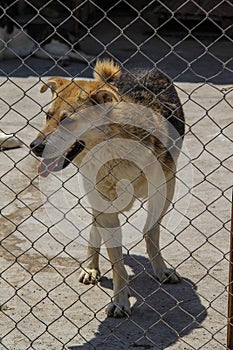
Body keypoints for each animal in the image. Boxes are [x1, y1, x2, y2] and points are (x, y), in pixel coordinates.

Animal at [30, 60, 186, 318]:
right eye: (47, 116)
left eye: (68, 121)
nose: (34, 147)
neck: (114, 151)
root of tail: (142, 68)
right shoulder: (105, 205)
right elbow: (117, 264)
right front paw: (120, 300)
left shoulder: (164, 191)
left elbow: (151, 233)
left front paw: (160, 268)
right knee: (95, 226)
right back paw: (90, 267)